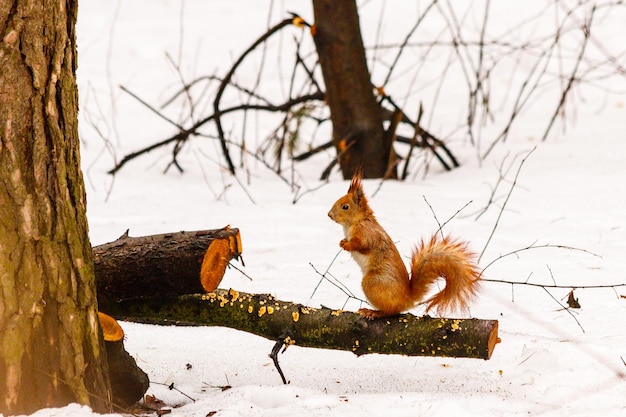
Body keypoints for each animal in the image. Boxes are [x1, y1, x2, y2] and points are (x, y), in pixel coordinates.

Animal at [326, 171, 478, 316]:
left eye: (345, 207)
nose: (329, 215)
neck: (354, 223)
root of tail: (407, 299)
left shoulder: (367, 234)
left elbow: (362, 245)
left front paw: (347, 245)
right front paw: (342, 241)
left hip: (373, 283)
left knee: (391, 311)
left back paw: (374, 312)